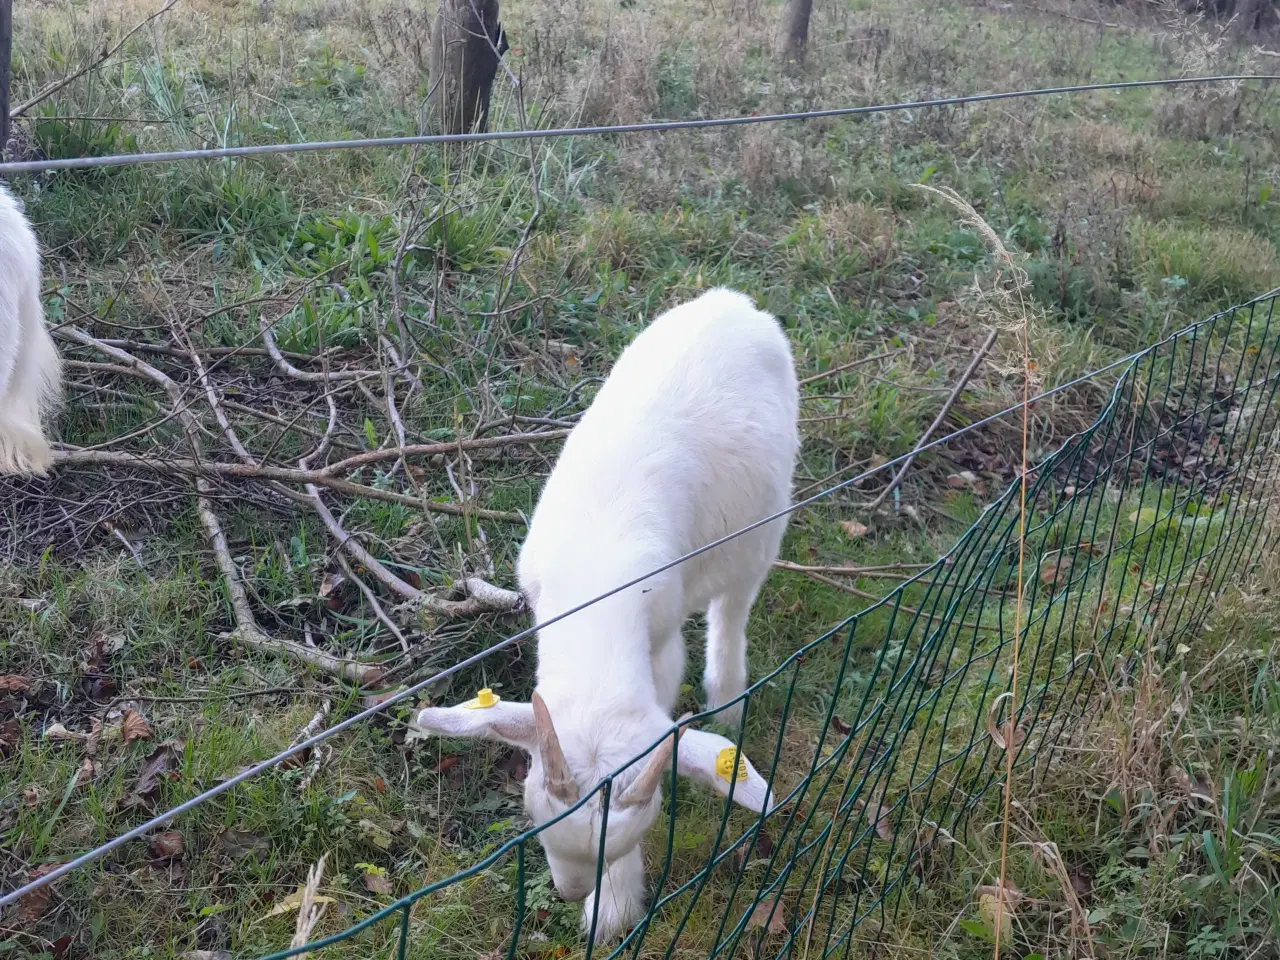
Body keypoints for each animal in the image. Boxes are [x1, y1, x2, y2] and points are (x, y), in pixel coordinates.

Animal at [414, 288, 793, 947]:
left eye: (626, 842)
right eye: (532, 813)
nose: (569, 892)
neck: (597, 586)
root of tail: (732, 300)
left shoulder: (660, 647)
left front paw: (611, 908)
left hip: (762, 529)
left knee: (733, 609)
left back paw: (728, 697)